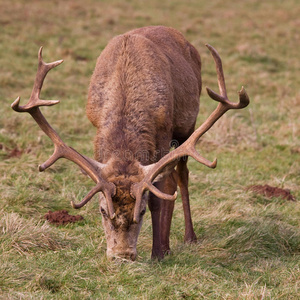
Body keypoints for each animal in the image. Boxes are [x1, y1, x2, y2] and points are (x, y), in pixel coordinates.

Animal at [11, 25, 248, 260]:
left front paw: (157, 253)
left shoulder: (164, 133)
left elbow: (158, 196)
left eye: (140, 211)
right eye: (103, 210)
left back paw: (186, 238)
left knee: (180, 177)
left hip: (186, 128)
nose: (122, 254)